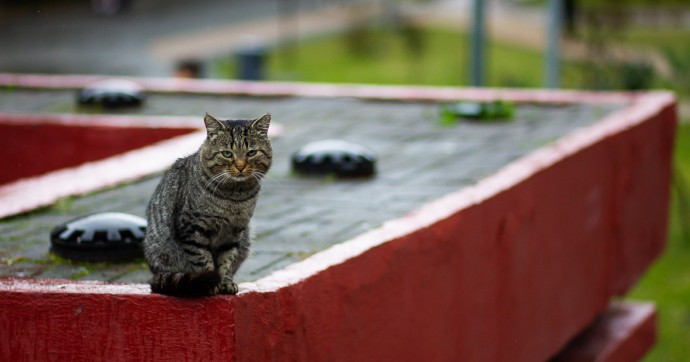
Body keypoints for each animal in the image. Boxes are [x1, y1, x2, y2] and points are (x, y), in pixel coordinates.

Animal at [144, 113, 272, 296]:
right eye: (227, 153)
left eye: (252, 152)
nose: (240, 166)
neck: (235, 196)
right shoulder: (192, 228)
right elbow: (203, 260)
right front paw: (212, 283)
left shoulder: (234, 232)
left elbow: (227, 260)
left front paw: (225, 282)